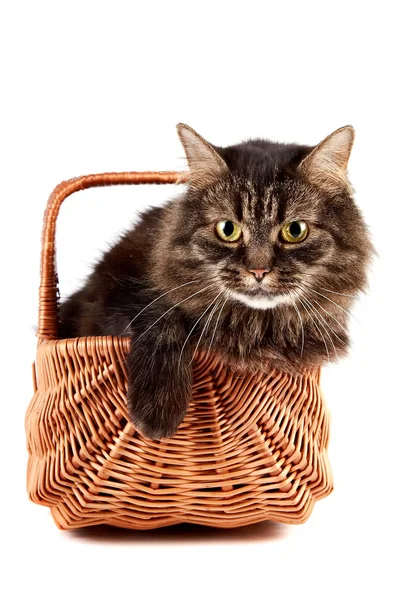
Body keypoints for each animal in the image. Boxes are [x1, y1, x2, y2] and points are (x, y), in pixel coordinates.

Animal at [58, 123, 372, 440]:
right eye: (227, 229)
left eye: (295, 230)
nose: (259, 270)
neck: (255, 326)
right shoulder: (117, 297)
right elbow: (163, 317)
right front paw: (158, 411)